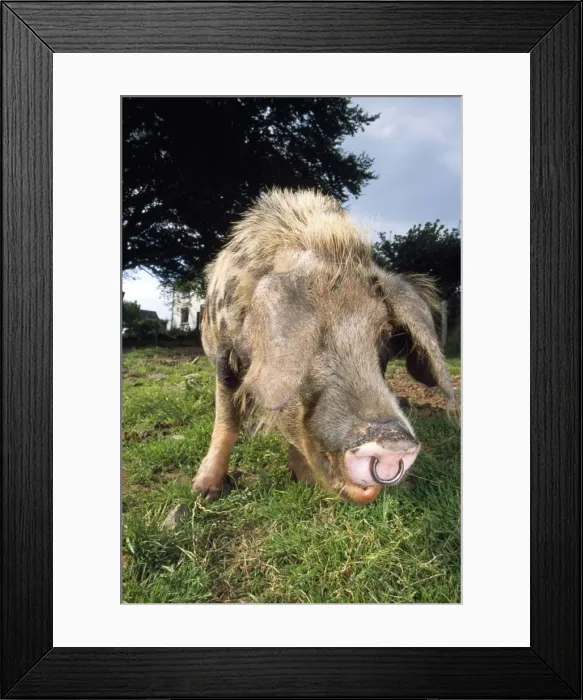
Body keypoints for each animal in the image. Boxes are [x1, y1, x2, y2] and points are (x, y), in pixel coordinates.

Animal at [193, 188, 454, 504]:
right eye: (308, 334)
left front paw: (304, 480)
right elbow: (226, 421)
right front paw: (204, 492)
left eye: (384, 335)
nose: (394, 440)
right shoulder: (224, 352)